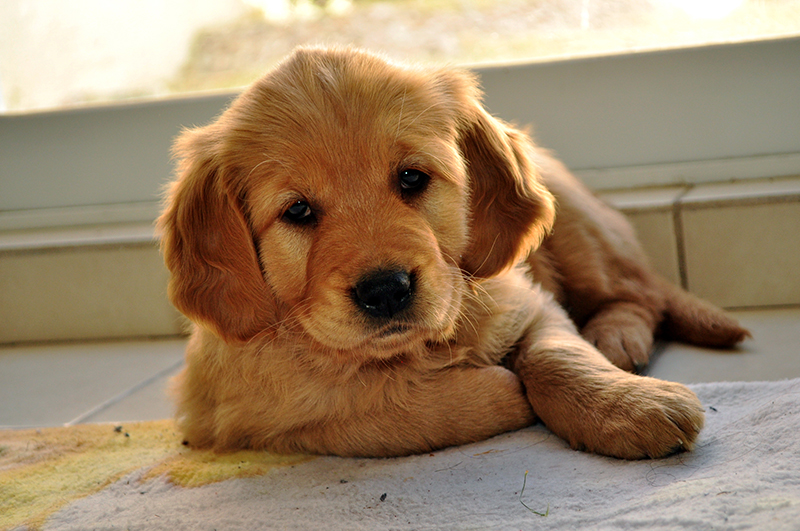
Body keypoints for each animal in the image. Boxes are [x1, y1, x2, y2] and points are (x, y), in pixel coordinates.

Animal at [158, 46, 752, 462]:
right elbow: (382, 408)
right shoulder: (247, 414)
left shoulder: (529, 302)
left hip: (580, 231)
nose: (386, 290)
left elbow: (558, 356)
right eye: (298, 211)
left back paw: (616, 338)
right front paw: (502, 391)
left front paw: (629, 408)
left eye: (412, 178)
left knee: (638, 292)